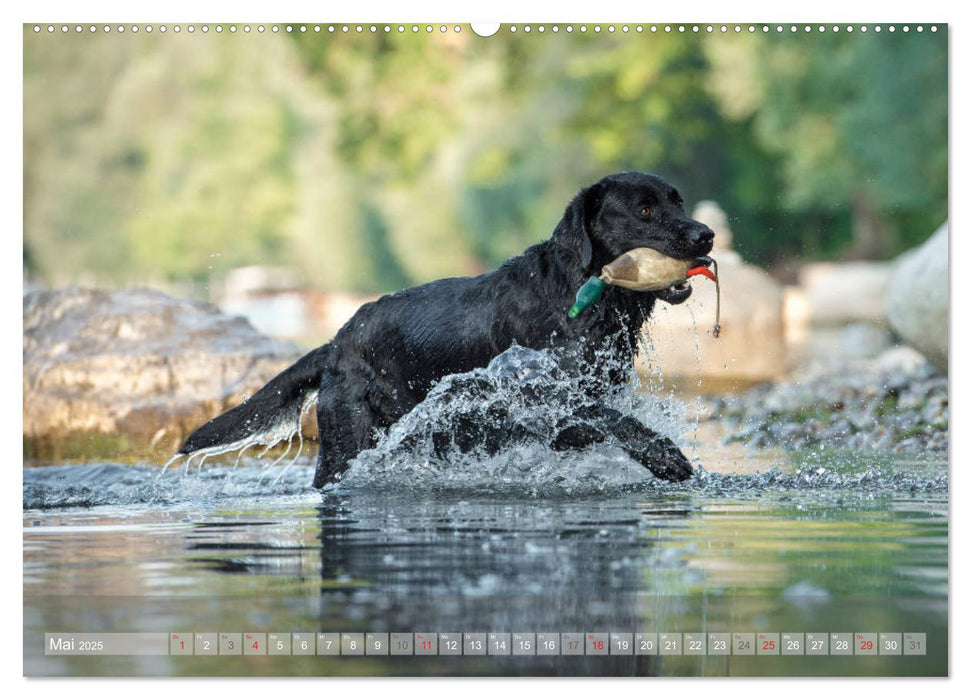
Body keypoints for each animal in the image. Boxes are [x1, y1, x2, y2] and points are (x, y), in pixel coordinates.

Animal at [180, 171, 712, 486]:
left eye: (679, 202)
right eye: (644, 210)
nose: (705, 235)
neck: (580, 293)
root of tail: (336, 343)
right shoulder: (542, 396)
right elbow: (614, 421)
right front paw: (668, 458)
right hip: (346, 439)